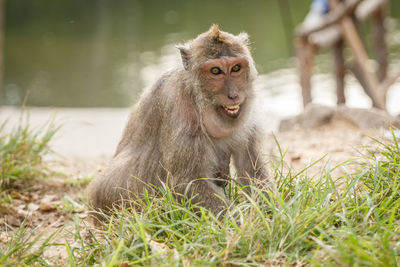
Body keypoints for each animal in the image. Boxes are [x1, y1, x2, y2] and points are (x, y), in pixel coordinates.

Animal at [86, 24, 276, 220]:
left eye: (236, 68)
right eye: (216, 71)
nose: (233, 95)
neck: (200, 100)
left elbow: (251, 168)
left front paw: (272, 216)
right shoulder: (182, 113)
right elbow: (189, 183)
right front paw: (241, 225)